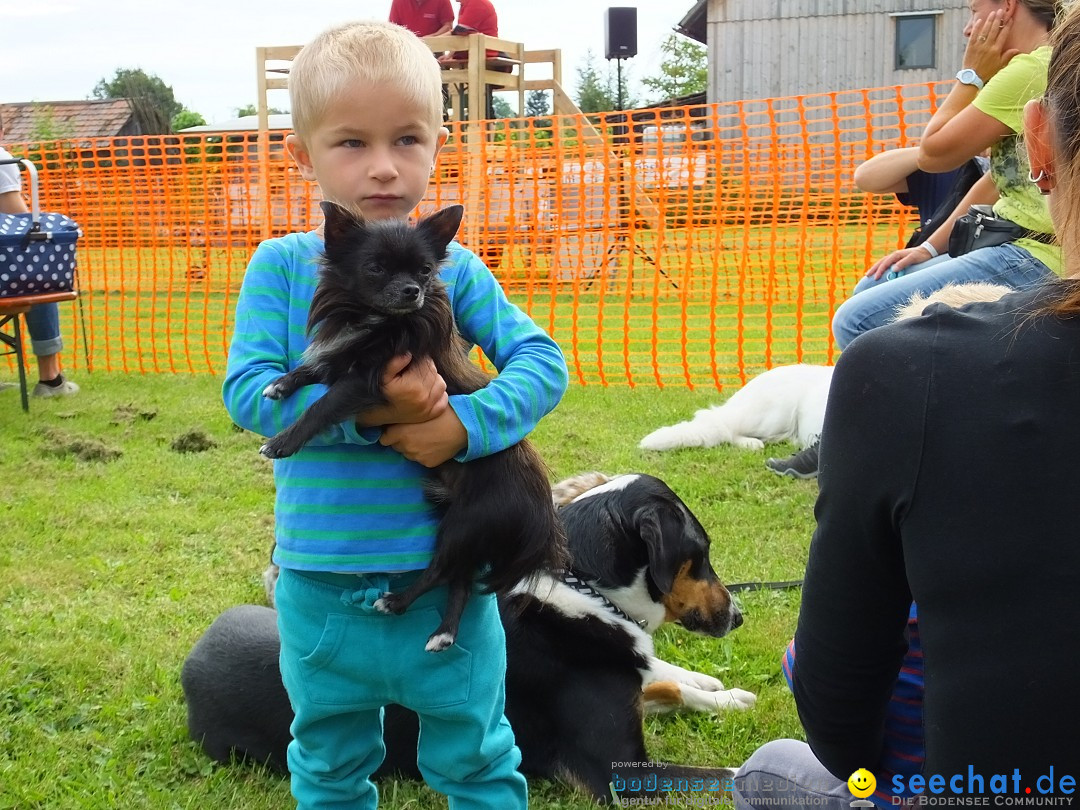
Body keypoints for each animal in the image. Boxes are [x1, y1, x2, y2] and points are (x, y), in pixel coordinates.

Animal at [181, 473, 756, 803]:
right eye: (701, 551)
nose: (739, 616)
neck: (585, 591)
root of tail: (192, 663)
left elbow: (667, 685)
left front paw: (725, 693)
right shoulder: (618, 771)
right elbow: (729, 772)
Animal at [260, 203, 565, 652]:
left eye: (424, 271)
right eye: (375, 268)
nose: (412, 291)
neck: (373, 318)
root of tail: (543, 517)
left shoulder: (367, 380)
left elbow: (323, 405)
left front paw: (283, 441)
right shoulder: (341, 357)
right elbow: (313, 369)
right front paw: (281, 384)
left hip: (465, 524)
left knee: (441, 572)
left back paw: (396, 602)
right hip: (456, 523)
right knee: (460, 582)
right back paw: (443, 633)